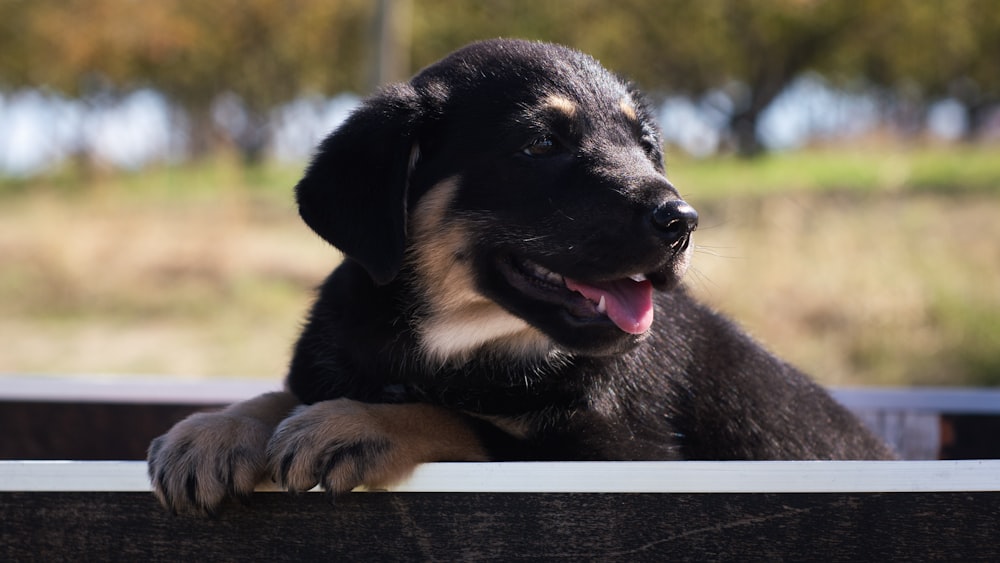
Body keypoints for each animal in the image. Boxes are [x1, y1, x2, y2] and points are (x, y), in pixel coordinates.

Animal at [148, 38, 900, 516]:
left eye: (646, 146)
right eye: (541, 143)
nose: (682, 220)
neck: (458, 341)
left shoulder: (621, 455)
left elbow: (466, 423)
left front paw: (356, 423)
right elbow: (283, 392)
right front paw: (212, 431)